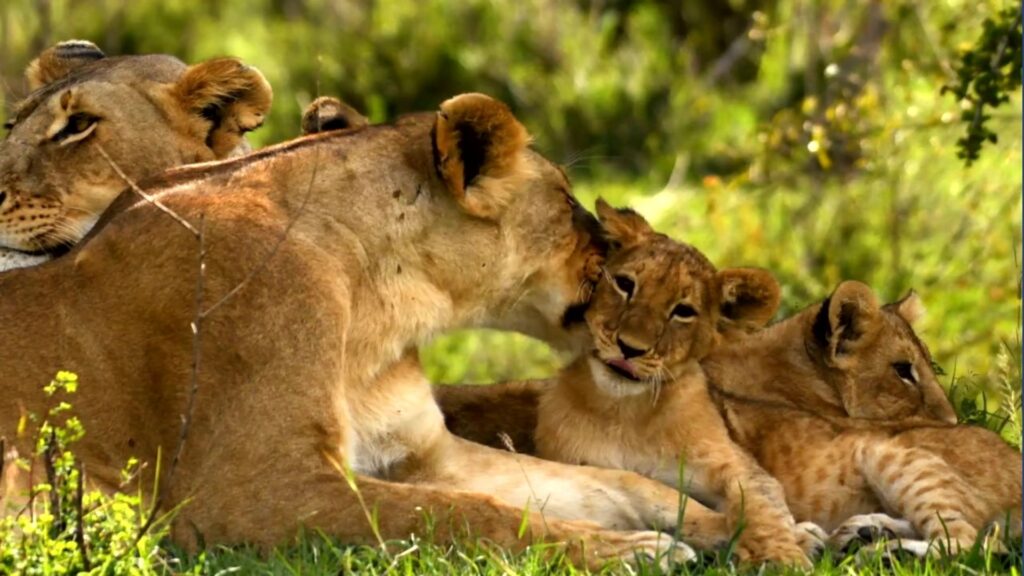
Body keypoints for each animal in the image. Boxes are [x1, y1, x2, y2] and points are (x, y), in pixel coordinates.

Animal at [0, 92, 741, 568]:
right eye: (565, 202)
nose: (618, 260)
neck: (381, 306)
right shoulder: (248, 492)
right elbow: (467, 515)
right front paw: (637, 553)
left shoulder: (427, 454)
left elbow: (599, 483)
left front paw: (724, 525)